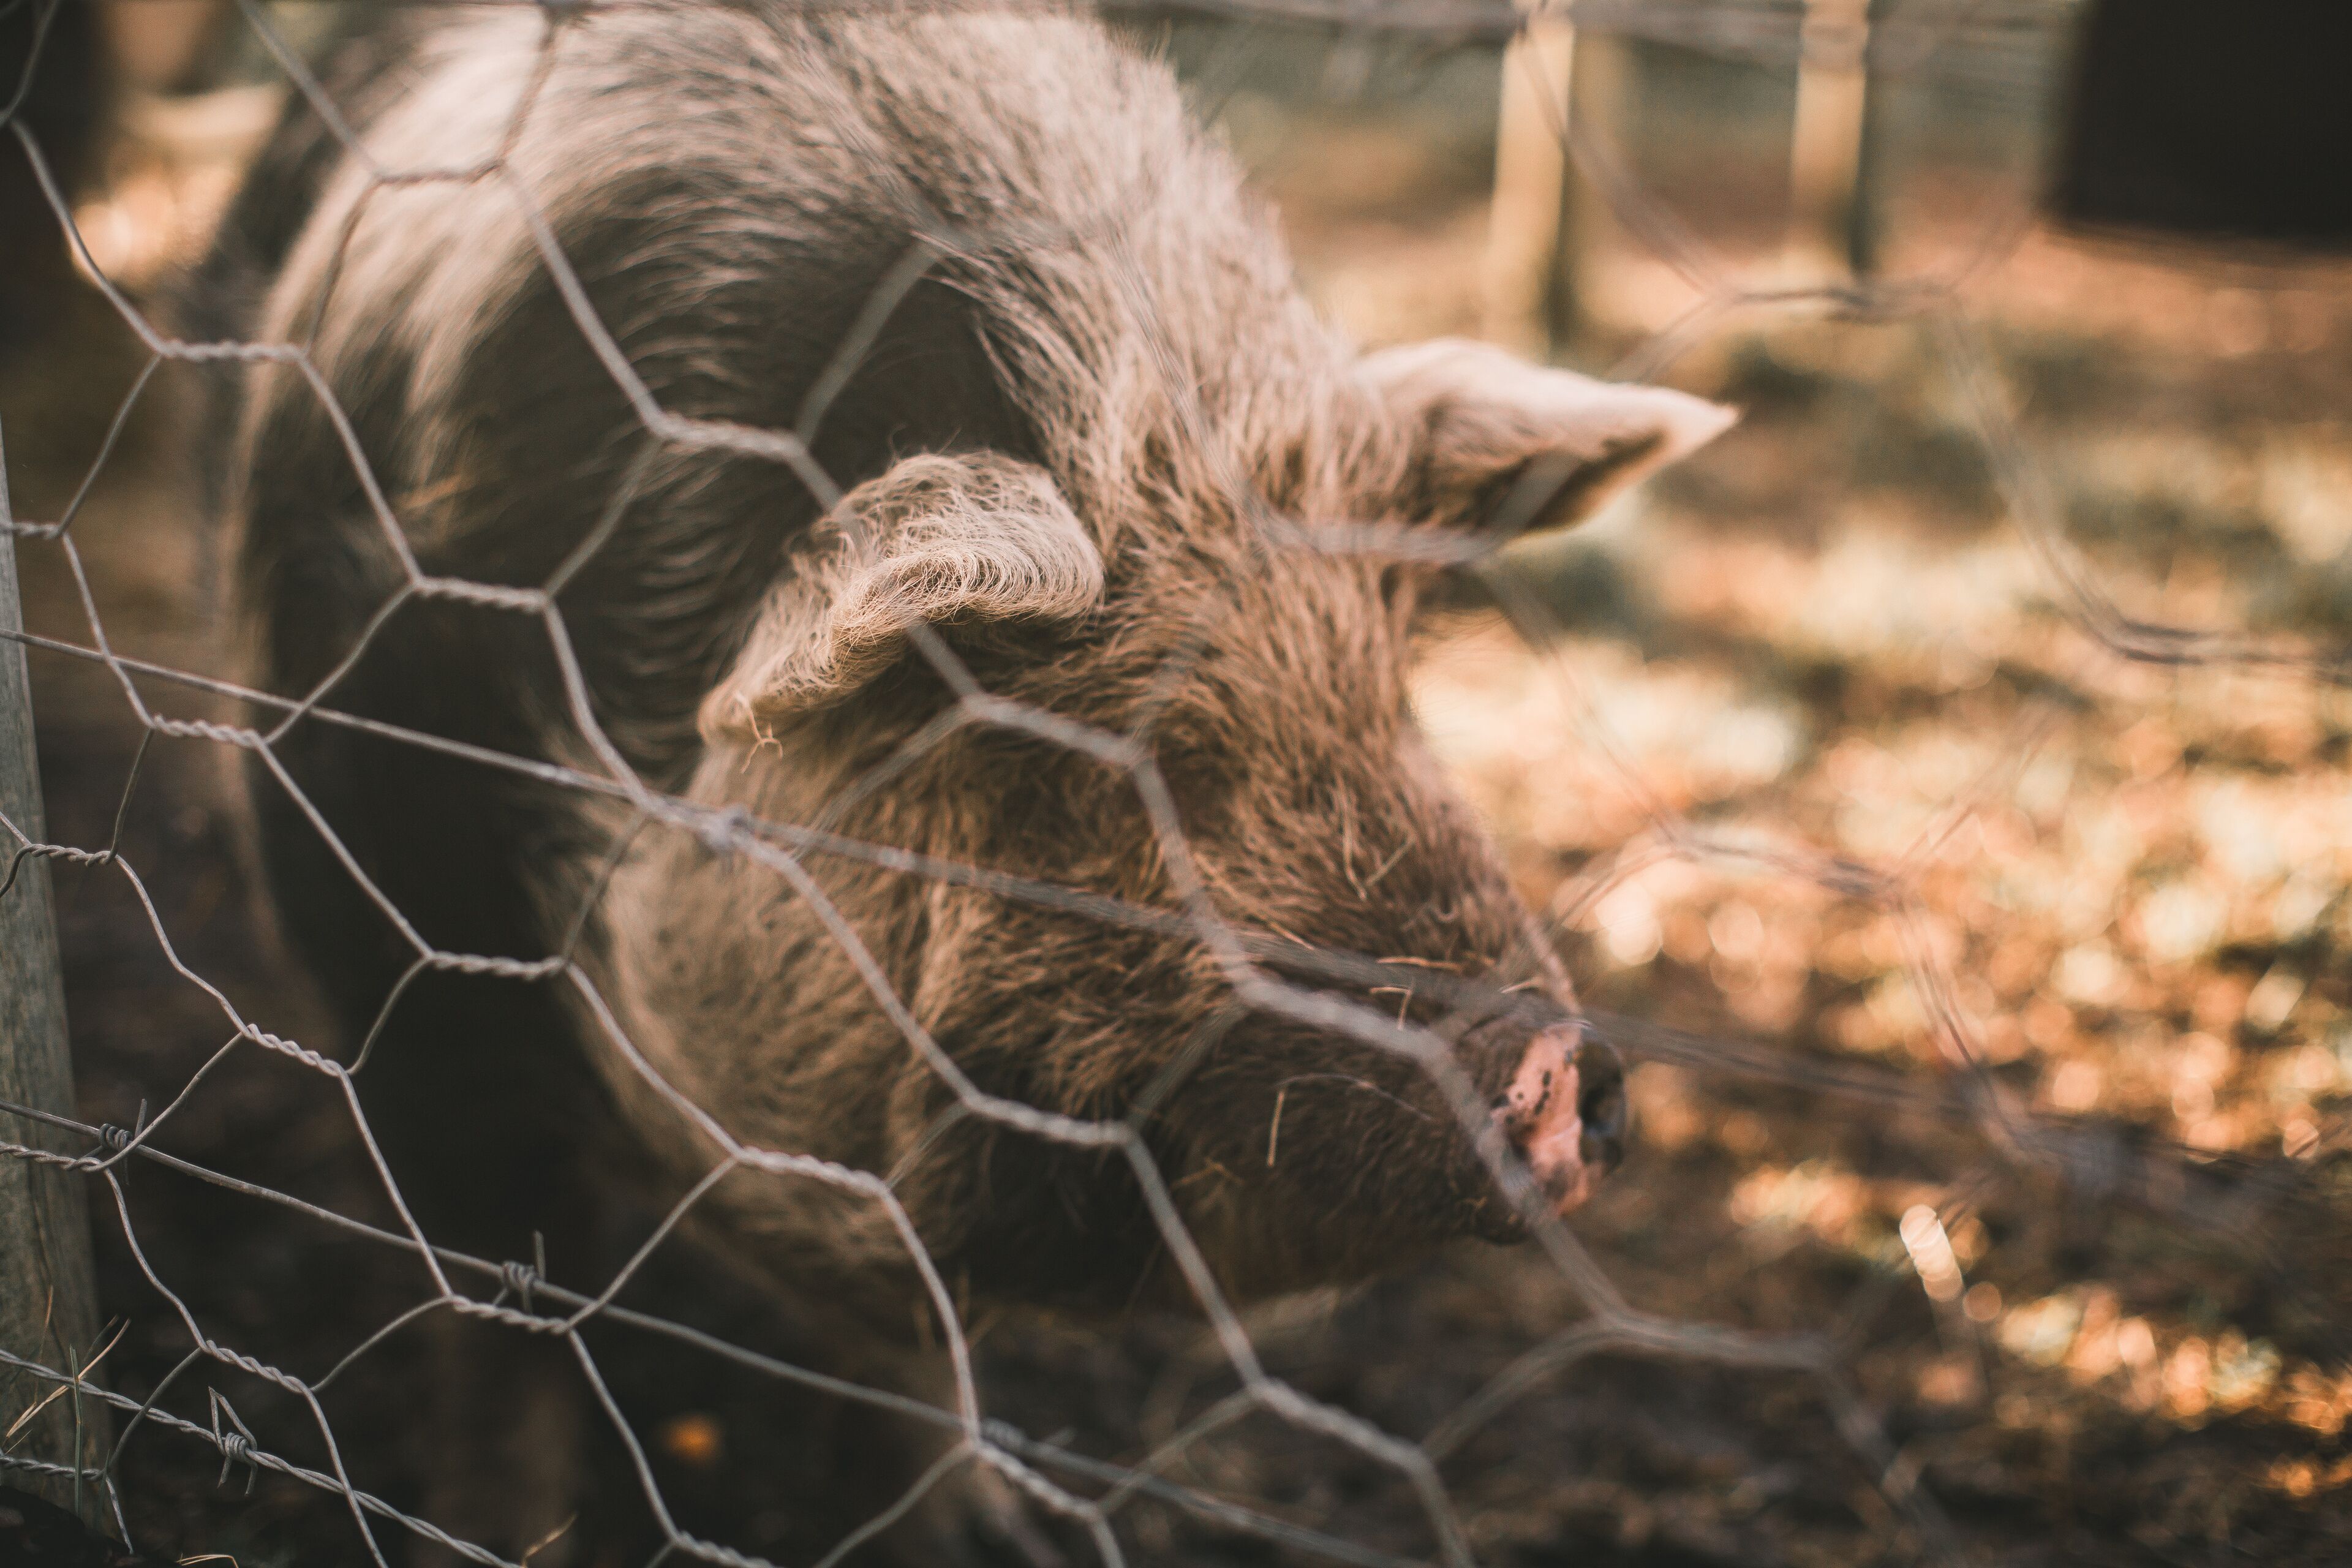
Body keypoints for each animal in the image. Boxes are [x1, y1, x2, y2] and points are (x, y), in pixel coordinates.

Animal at [191, 3, 1731, 1560]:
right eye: (1124, 763)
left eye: (1389, 685)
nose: (1557, 1058)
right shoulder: (381, 930)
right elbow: (494, 1307)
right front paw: (487, 1527)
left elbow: (910, 1337)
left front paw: (1001, 1535)